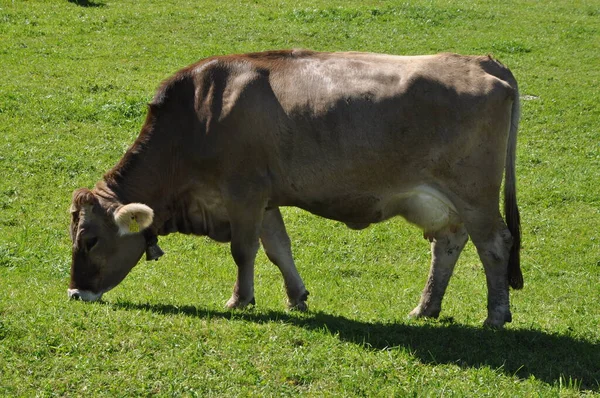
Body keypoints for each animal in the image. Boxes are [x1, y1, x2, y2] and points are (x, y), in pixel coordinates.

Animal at [69, 49, 520, 326]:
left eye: (90, 240)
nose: (75, 293)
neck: (196, 117)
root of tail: (482, 61)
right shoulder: (265, 199)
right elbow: (278, 248)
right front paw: (296, 297)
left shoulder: (244, 193)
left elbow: (244, 250)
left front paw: (240, 300)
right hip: (442, 201)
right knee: (448, 244)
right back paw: (426, 307)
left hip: (475, 193)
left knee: (495, 244)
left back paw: (495, 315)